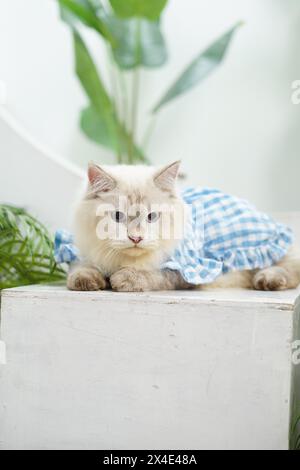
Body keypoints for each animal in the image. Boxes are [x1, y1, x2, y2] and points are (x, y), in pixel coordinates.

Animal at [67, 163, 300, 292]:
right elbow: (80, 269)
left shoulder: (185, 270)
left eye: (152, 217)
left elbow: (152, 275)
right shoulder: (86, 254)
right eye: (117, 216)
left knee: (289, 269)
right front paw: (87, 281)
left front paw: (123, 279)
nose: (136, 238)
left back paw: (266, 280)